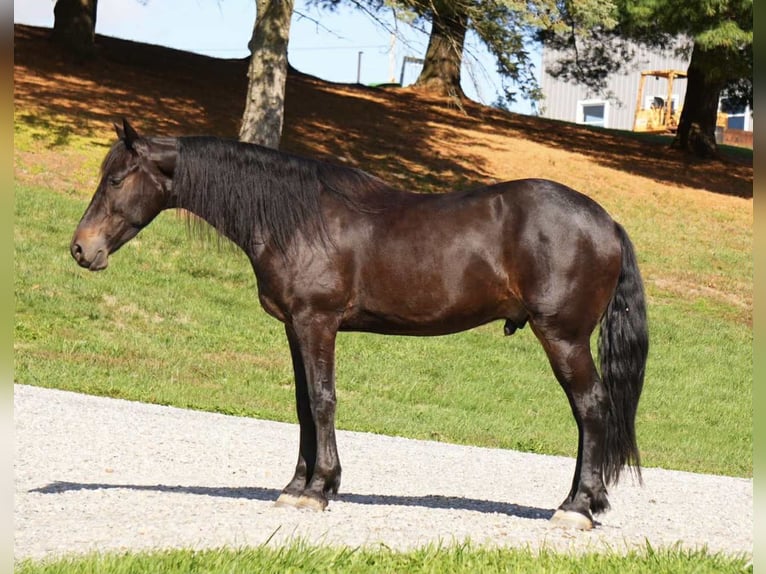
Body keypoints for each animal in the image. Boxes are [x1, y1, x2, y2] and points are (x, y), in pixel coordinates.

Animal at [71, 119, 648, 530]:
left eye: (116, 179)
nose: (81, 249)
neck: (299, 218)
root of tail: (607, 222)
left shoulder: (318, 322)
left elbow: (323, 400)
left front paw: (319, 489)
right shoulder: (295, 328)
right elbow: (303, 405)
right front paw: (298, 487)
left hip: (563, 337)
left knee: (590, 407)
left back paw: (575, 507)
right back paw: (585, 501)